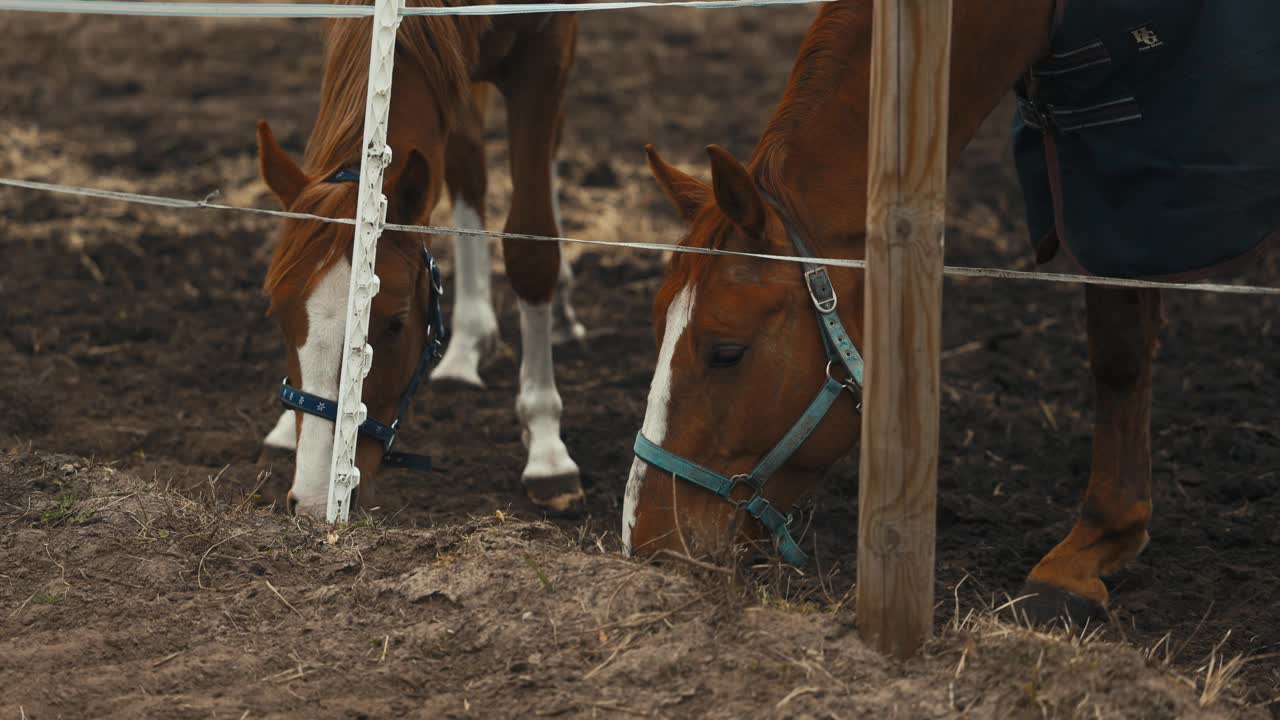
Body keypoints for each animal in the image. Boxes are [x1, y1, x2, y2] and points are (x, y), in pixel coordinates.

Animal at [256, 0, 586, 515]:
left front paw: (548, 451)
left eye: (394, 324)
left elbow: (531, 247)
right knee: (468, 164)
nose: (312, 501)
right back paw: (468, 343)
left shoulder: (546, 45)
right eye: (278, 314)